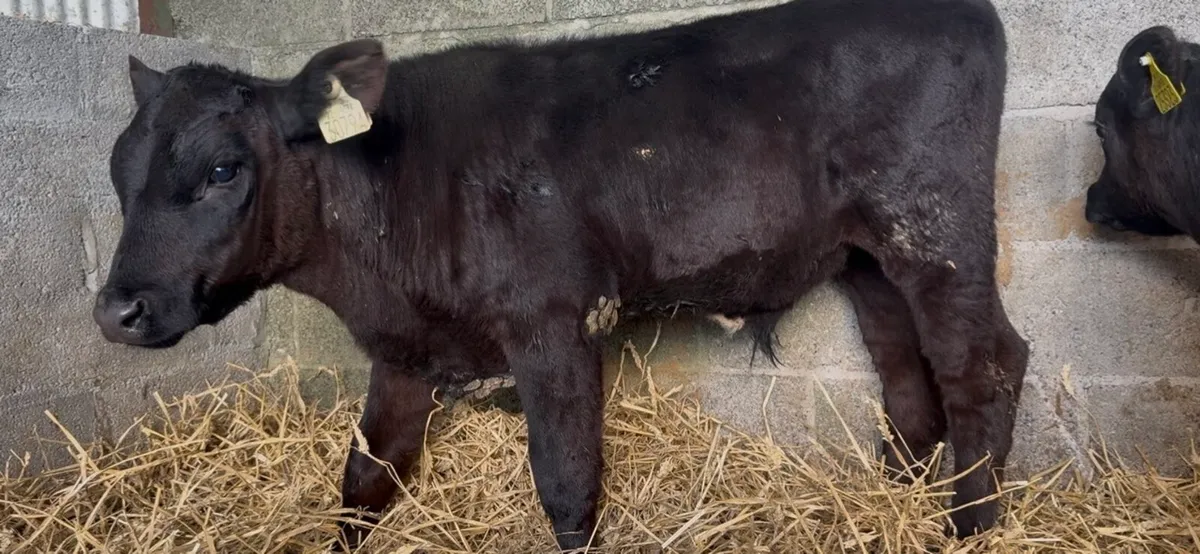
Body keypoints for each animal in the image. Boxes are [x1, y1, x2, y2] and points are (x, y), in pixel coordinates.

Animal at [91, 0, 1028, 549]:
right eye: (116, 169)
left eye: (223, 170)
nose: (114, 312)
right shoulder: (402, 350)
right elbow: (364, 479)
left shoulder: (553, 323)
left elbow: (567, 485)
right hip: (868, 257)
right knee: (907, 373)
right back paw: (900, 495)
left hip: (936, 227)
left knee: (984, 363)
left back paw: (970, 523)